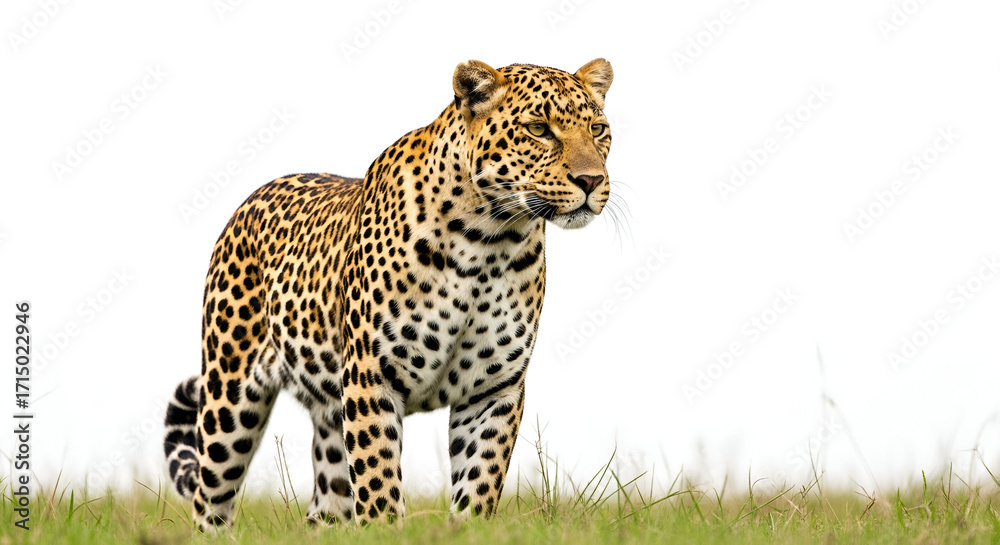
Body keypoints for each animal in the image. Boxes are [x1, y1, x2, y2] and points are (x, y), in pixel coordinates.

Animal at [163, 58, 614, 531]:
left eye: (598, 129)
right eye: (539, 129)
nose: (591, 180)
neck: (489, 241)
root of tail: (250, 199)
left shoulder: (493, 389)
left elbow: (479, 479)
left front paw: (467, 530)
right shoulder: (371, 375)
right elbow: (377, 479)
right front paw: (387, 528)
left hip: (329, 420)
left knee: (325, 506)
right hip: (228, 400)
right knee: (210, 498)